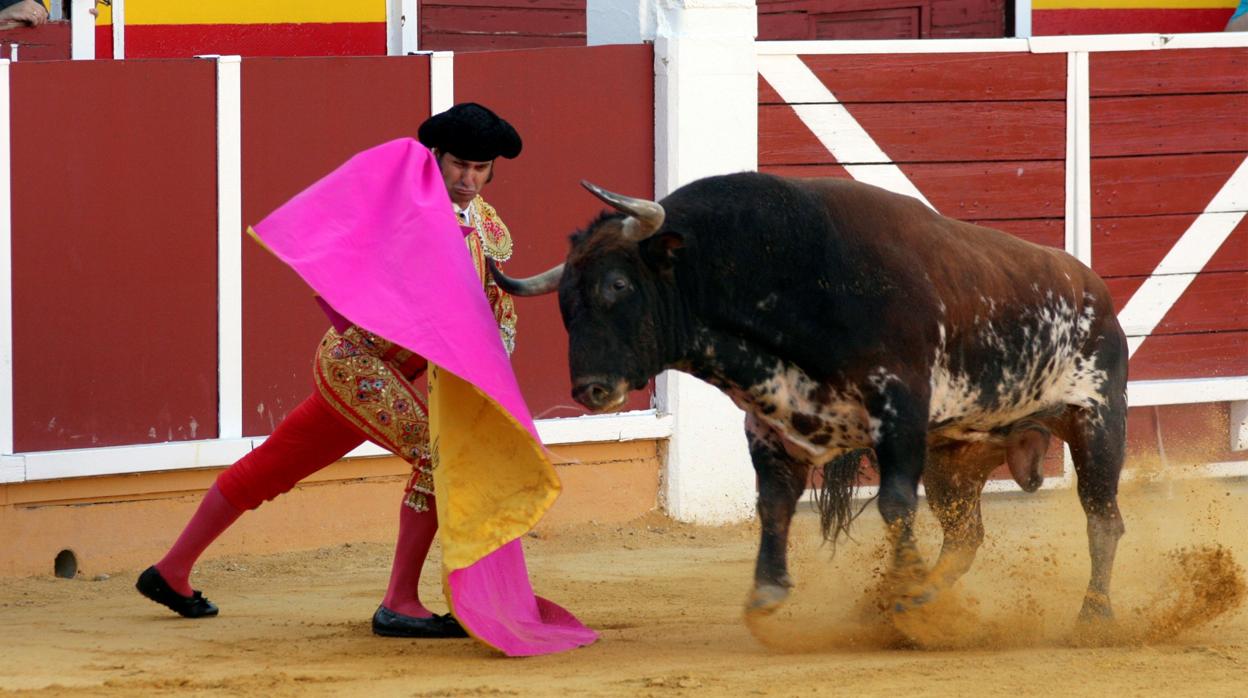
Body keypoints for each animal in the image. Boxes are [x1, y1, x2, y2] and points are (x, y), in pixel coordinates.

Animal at [489, 173, 1133, 634]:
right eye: (566, 302)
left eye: (617, 286)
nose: (591, 389)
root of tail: (1094, 288)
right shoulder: (771, 428)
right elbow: (773, 504)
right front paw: (768, 593)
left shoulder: (900, 413)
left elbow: (894, 505)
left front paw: (899, 587)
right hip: (957, 454)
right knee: (965, 536)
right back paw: (920, 600)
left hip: (1097, 418)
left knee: (1103, 518)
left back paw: (1095, 615)